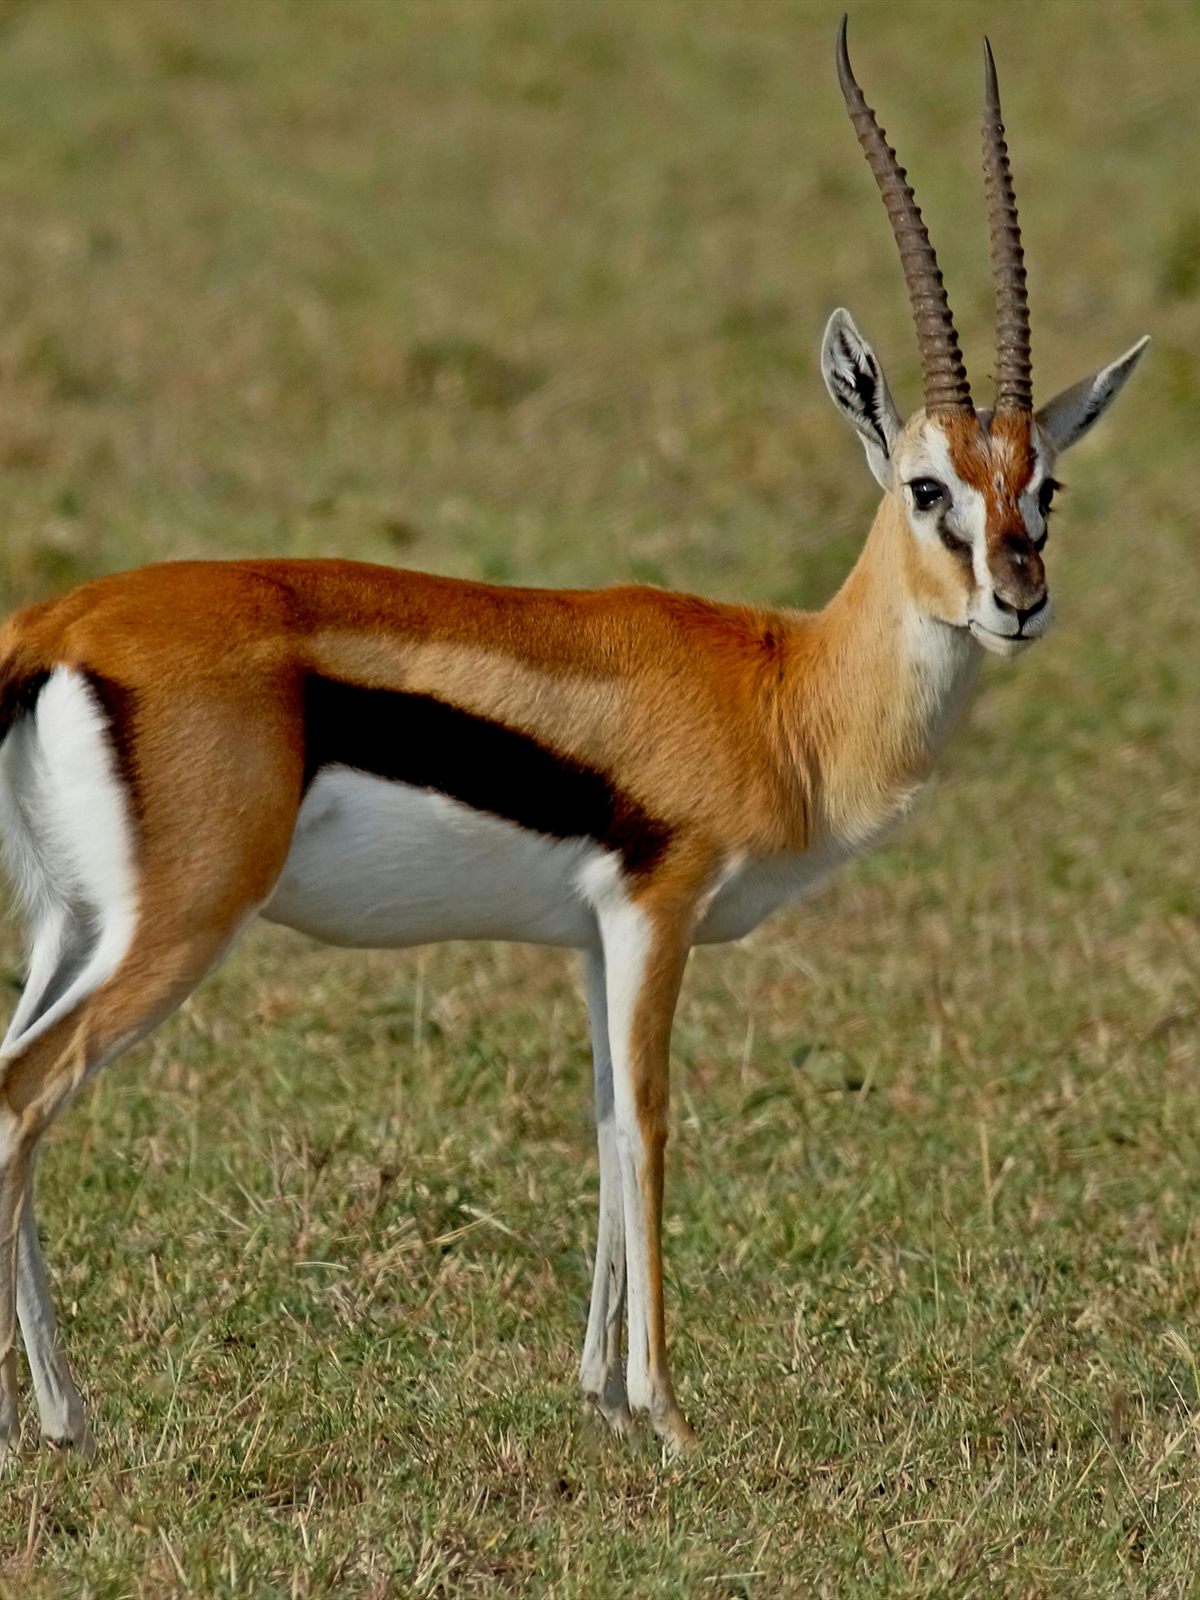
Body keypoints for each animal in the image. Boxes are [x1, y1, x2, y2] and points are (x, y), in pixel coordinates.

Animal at [0, 20, 1146, 1458]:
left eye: (1045, 485)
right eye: (927, 485)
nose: (1019, 598)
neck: (785, 689)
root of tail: (55, 621)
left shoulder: (593, 938)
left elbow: (600, 1122)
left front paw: (600, 1391)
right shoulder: (658, 911)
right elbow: (649, 1124)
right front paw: (667, 1412)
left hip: (73, 923)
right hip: (178, 922)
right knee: (22, 1097)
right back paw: (62, 1415)